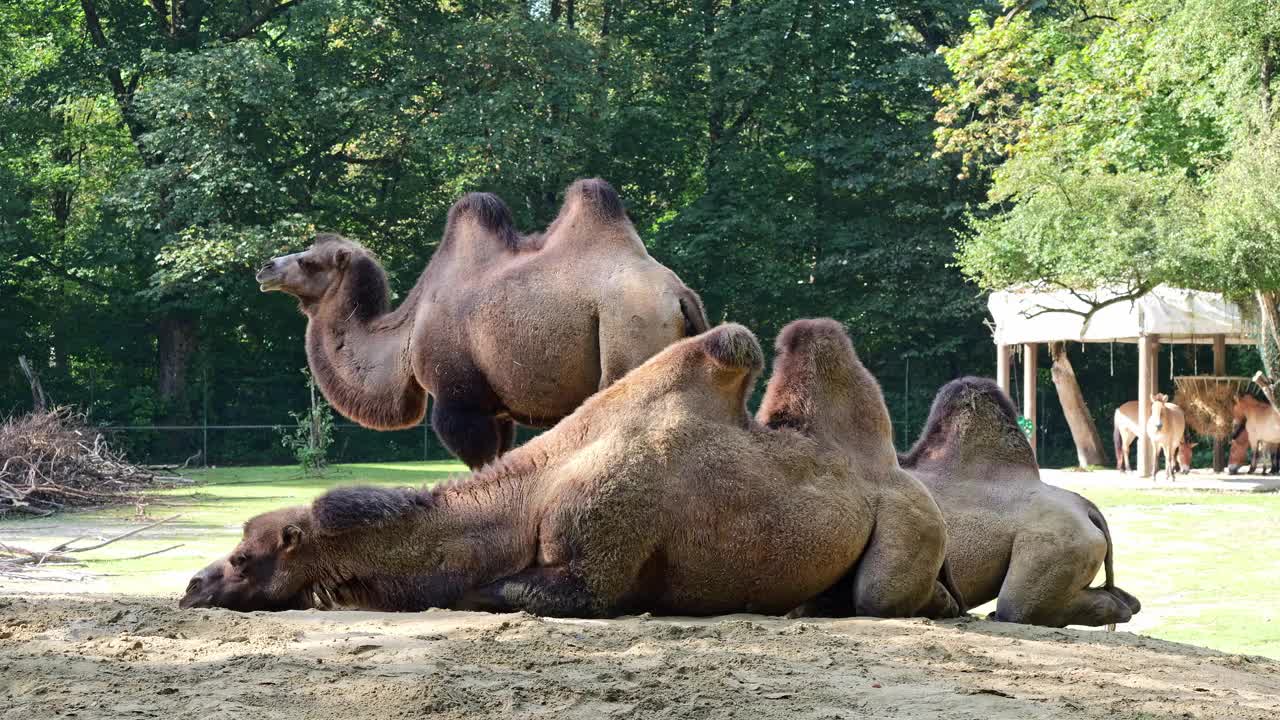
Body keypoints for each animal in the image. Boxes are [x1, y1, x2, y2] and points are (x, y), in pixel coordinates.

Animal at [180, 319, 962, 617]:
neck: (526, 499)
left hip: (911, 523)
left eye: (245, 556)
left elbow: (502, 591)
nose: (192, 584)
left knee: (882, 596)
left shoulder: (594, 560)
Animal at [253, 178, 706, 468]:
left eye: (310, 262)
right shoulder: (497, 409)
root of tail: (679, 297)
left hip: (628, 330)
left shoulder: (460, 401)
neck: (408, 331)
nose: (266, 267)